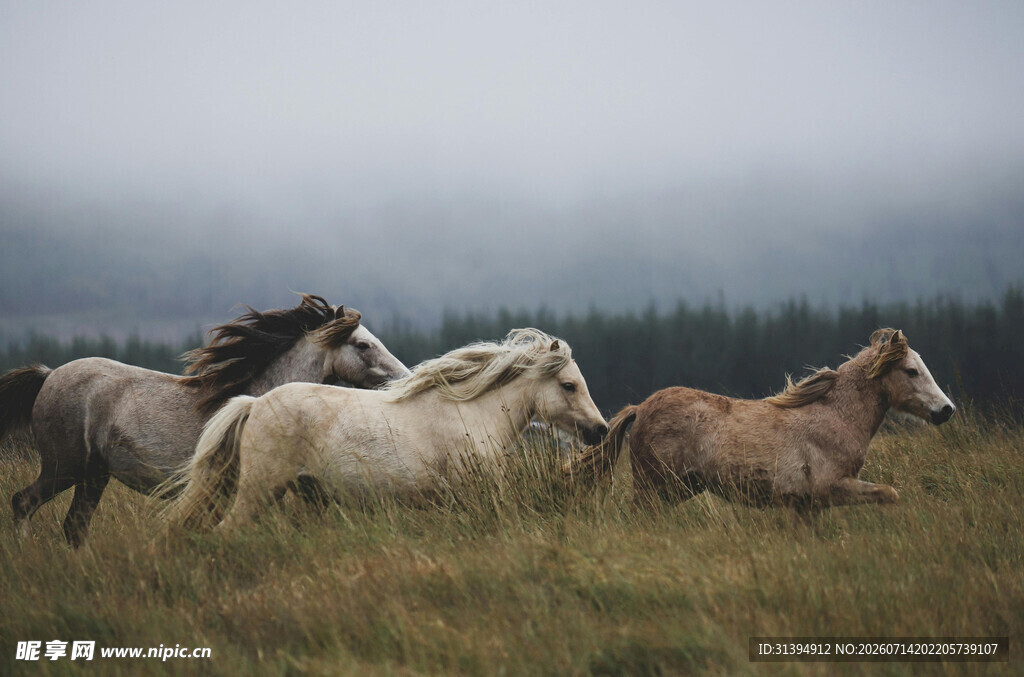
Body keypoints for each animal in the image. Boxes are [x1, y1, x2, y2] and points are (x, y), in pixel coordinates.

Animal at [0, 294, 410, 546]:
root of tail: (48, 375)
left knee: (74, 526)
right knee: (24, 503)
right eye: (363, 345)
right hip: (64, 466)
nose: (403, 378)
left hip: (94, 475)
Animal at [564, 329, 955, 509]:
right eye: (911, 371)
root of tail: (641, 408)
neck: (836, 417)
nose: (946, 409)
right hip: (655, 487)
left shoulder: (804, 506)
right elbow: (890, 494)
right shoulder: (832, 488)